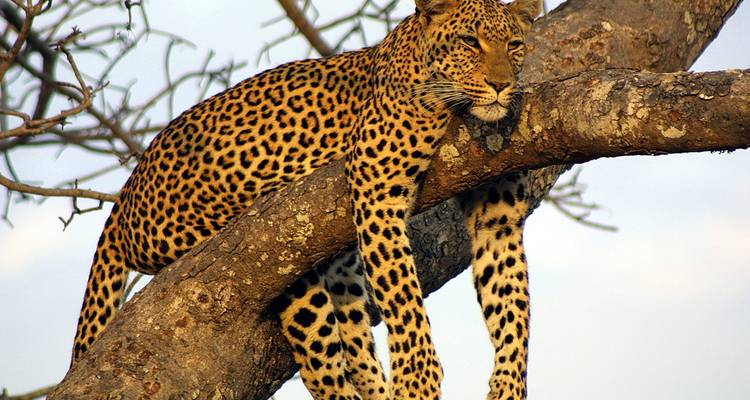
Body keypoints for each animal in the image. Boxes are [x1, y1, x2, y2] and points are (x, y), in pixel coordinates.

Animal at [69, 0, 542, 399]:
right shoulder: (376, 190)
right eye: (469, 42)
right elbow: (403, 296)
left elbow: (512, 305)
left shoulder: (497, 217)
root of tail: (124, 198)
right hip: (270, 248)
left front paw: (507, 384)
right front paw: (417, 376)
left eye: (514, 45)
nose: (500, 86)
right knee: (320, 365)